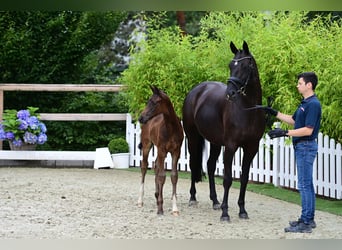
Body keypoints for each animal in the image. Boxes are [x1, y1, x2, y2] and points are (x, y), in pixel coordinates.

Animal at [182, 41, 264, 223]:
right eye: (230, 65)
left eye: (245, 66)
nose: (230, 93)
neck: (247, 111)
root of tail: (196, 90)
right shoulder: (231, 146)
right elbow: (227, 179)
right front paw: (225, 213)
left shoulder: (251, 148)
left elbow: (244, 178)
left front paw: (242, 210)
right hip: (192, 137)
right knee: (193, 163)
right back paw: (193, 198)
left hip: (215, 142)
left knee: (210, 166)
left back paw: (215, 201)